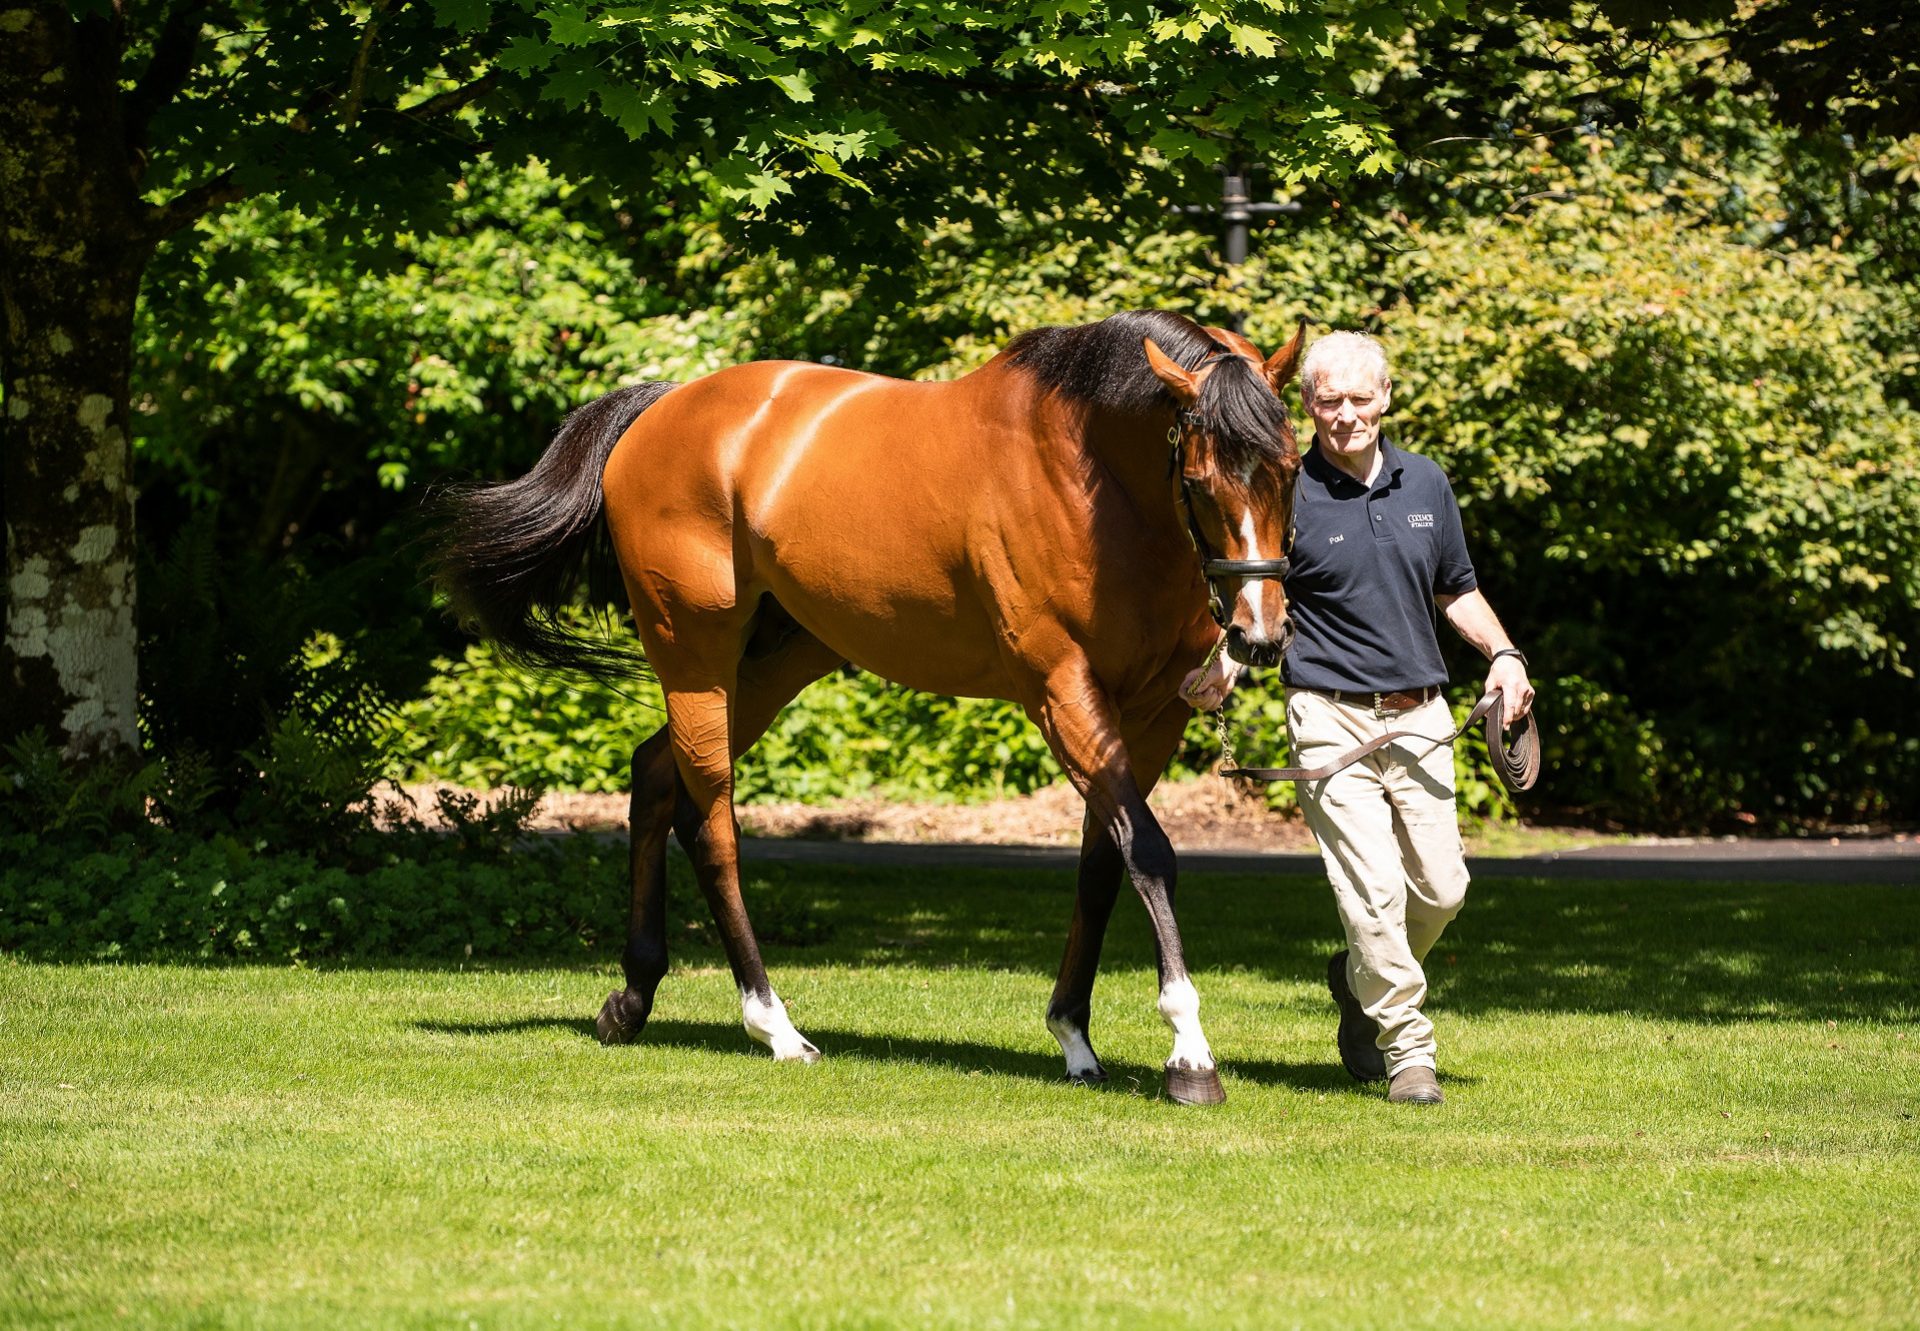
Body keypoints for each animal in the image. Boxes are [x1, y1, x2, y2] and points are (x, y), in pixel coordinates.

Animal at [433, 309, 1305, 1098]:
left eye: (1292, 470)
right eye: (1200, 481)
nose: (1259, 633)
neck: (1088, 475)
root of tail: (665, 407)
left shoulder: (1153, 713)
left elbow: (1106, 859)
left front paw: (1074, 1038)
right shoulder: (1061, 689)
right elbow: (1149, 851)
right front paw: (1190, 1054)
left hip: (781, 655)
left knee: (653, 775)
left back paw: (633, 997)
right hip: (693, 654)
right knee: (712, 824)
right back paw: (775, 1026)